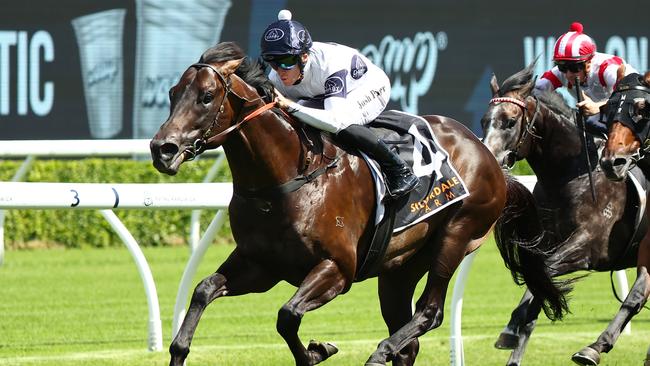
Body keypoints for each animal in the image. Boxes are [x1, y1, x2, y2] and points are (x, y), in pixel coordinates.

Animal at [151, 42, 560, 366]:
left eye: (206, 97)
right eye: (172, 93)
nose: (162, 149)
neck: (286, 179)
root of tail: (486, 153)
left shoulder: (337, 269)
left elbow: (287, 315)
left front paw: (317, 351)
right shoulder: (261, 265)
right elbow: (203, 290)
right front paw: (180, 348)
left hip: (457, 234)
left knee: (430, 313)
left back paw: (380, 351)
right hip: (400, 266)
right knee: (409, 342)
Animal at [478, 61, 648, 364]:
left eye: (509, 121)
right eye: (483, 121)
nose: (489, 162)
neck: (568, 174)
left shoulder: (589, 246)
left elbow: (542, 276)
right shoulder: (547, 241)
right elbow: (535, 288)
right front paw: (513, 335)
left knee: (636, 295)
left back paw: (593, 348)